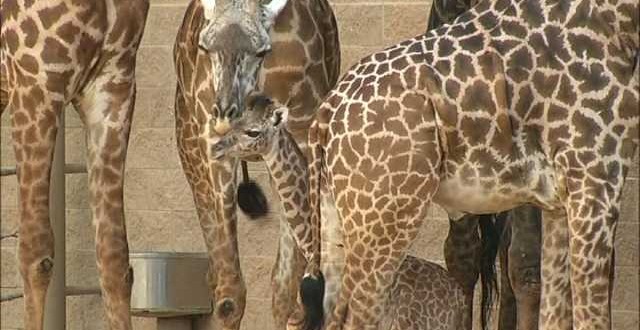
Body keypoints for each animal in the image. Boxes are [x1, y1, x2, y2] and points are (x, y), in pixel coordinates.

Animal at [170, 0, 340, 328]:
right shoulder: (213, 146)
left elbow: (288, 290)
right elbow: (229, 296)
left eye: (262, 50)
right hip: (188, 139)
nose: (225, 113)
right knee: (216, 275)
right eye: (205, 46)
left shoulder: (301, 134)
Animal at [302, 0, 636, 328]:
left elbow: (551, 311)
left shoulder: (560, 200)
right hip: (383, 218)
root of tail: (326, 112)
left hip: (336, 217)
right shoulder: (595, 177)